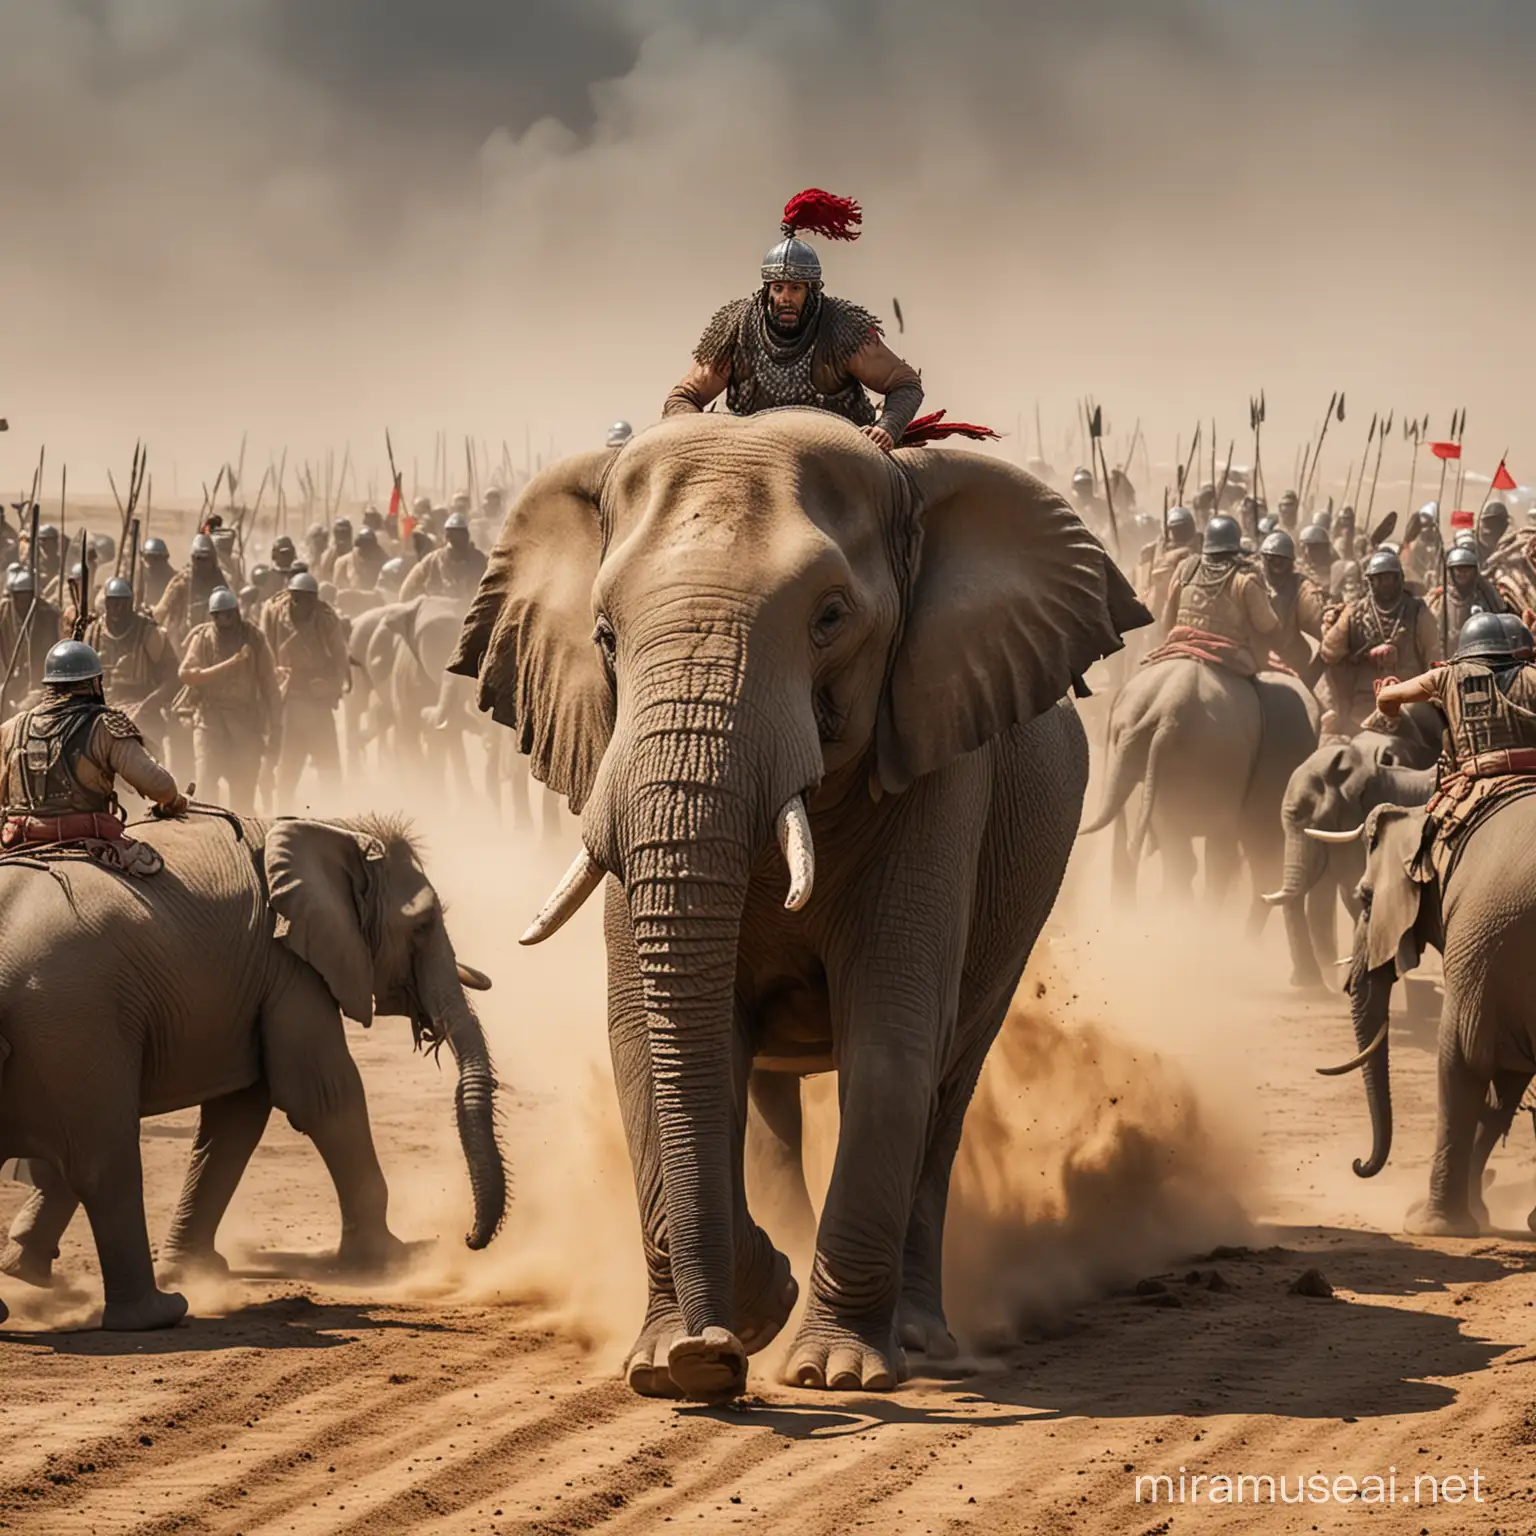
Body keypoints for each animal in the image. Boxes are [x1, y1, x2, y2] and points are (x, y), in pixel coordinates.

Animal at [0, 811, 503, 1327]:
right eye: (422, 926)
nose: (467, 1238)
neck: (332, 827)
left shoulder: (259, 977)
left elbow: (238, 1114)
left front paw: (197, 1269)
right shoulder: (287, 963)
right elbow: (322, 1096)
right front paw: (392, 1260)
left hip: (65, 1033)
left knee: (77, 1153)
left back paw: (27, 1274)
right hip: (75, 1020)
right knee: (104, 1160)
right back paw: (157, 1312)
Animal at [448, 408, 1148, 1406]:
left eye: (829, 620)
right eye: (606, 637)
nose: (709, 1350)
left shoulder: (939, 769)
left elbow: (890, 1035)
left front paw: (830, 1370)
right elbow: (649, 1042)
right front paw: (683, 1353)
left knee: (946, 1088)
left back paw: (922, 1339)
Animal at [1327, 798, 1536, 1228]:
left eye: (1366, 899)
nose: (1358, 1164)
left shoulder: (1485, 943)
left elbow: (1464, 1057)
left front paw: (1432, 1225)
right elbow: (1505, 1081)